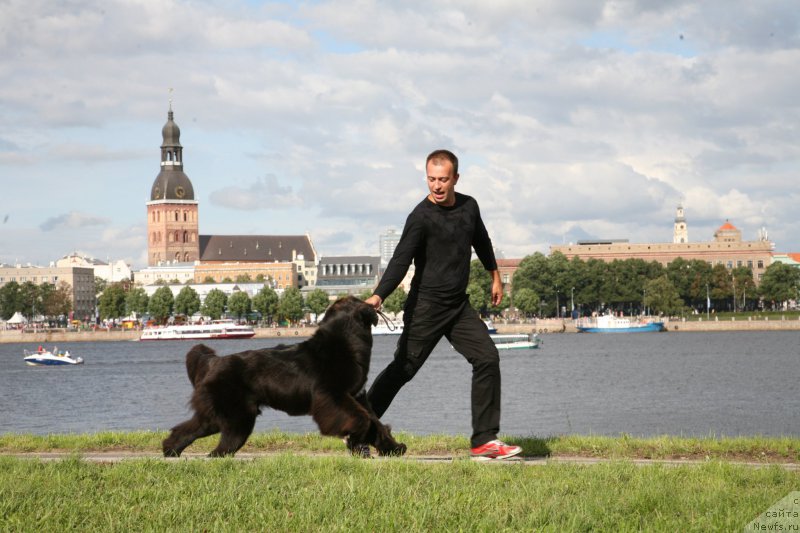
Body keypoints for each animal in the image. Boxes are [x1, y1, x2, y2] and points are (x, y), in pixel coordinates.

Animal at [161, 296, 406, 458]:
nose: (376, 305)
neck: (344, 343)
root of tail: (214, 361)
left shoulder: (358, 396)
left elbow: (376, 423)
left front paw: (393, 448)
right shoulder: (333, 396)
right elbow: (361, 420)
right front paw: (355, 439)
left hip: (217, 414)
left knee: (190, 428)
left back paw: (170, 449)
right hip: (238, 415)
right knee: (226, 441)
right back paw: (218, 455)